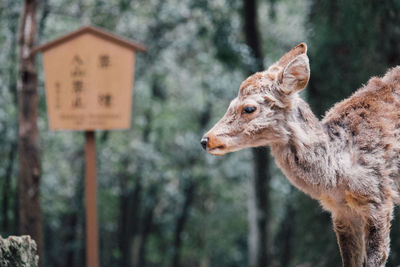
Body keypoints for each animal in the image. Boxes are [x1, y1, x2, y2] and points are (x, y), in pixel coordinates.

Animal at [200, 43, 400, 266]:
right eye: (229, 105)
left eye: (249, 108)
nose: (206, 140)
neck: (338, 174)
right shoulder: (341, 212)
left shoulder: (379, 197)